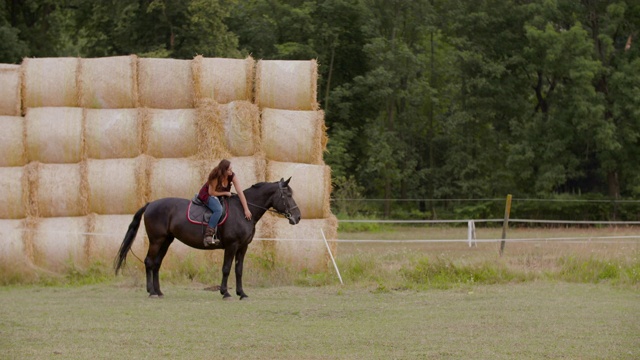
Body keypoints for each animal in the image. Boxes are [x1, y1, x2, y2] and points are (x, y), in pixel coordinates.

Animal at [114, 177, 300, 298]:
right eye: (288, 195)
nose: (297, 217)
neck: (243, 210)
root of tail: (151, 204)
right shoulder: (232, 245)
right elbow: (226, 268)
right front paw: (225, 292)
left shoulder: (243, 247)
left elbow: (239, 270)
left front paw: (242, 293)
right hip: (156, 240)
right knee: (149, 262)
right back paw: (151, 292)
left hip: (166, 241)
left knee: (156, 264)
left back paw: (159, 292)